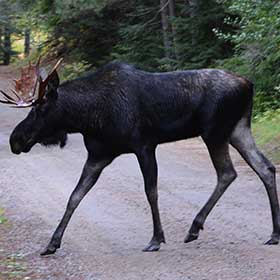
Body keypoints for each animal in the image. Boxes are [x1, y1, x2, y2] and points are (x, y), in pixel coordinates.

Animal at [0, 58, 278, 255]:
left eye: (39, 109)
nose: (15, 139)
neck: (87, 117)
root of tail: (249, 84)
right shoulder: (99, 156)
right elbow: (75, 196)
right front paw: (51, 243)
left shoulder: (144, 145)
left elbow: (151, 191)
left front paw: (156, 239)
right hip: (238, 129)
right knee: (265, 168)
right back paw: (273, 234)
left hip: (215, 132)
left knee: (228, 172)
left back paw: (194, 227)